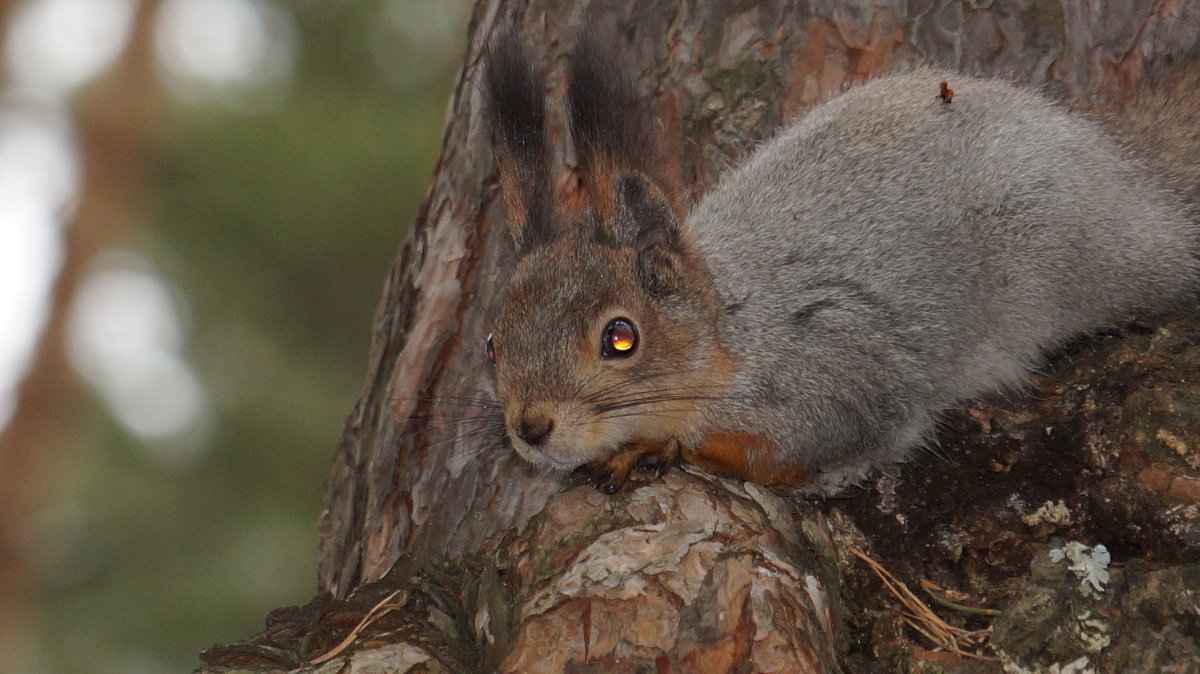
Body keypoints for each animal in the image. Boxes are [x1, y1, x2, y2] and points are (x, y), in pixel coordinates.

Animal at [477, 32, 1200, 494]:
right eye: (491, 343)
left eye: (620, 338)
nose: (530, 430)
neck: (734, 332)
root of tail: (1131, 169)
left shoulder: (836, 376)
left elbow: (821, 444)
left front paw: (667, 447)